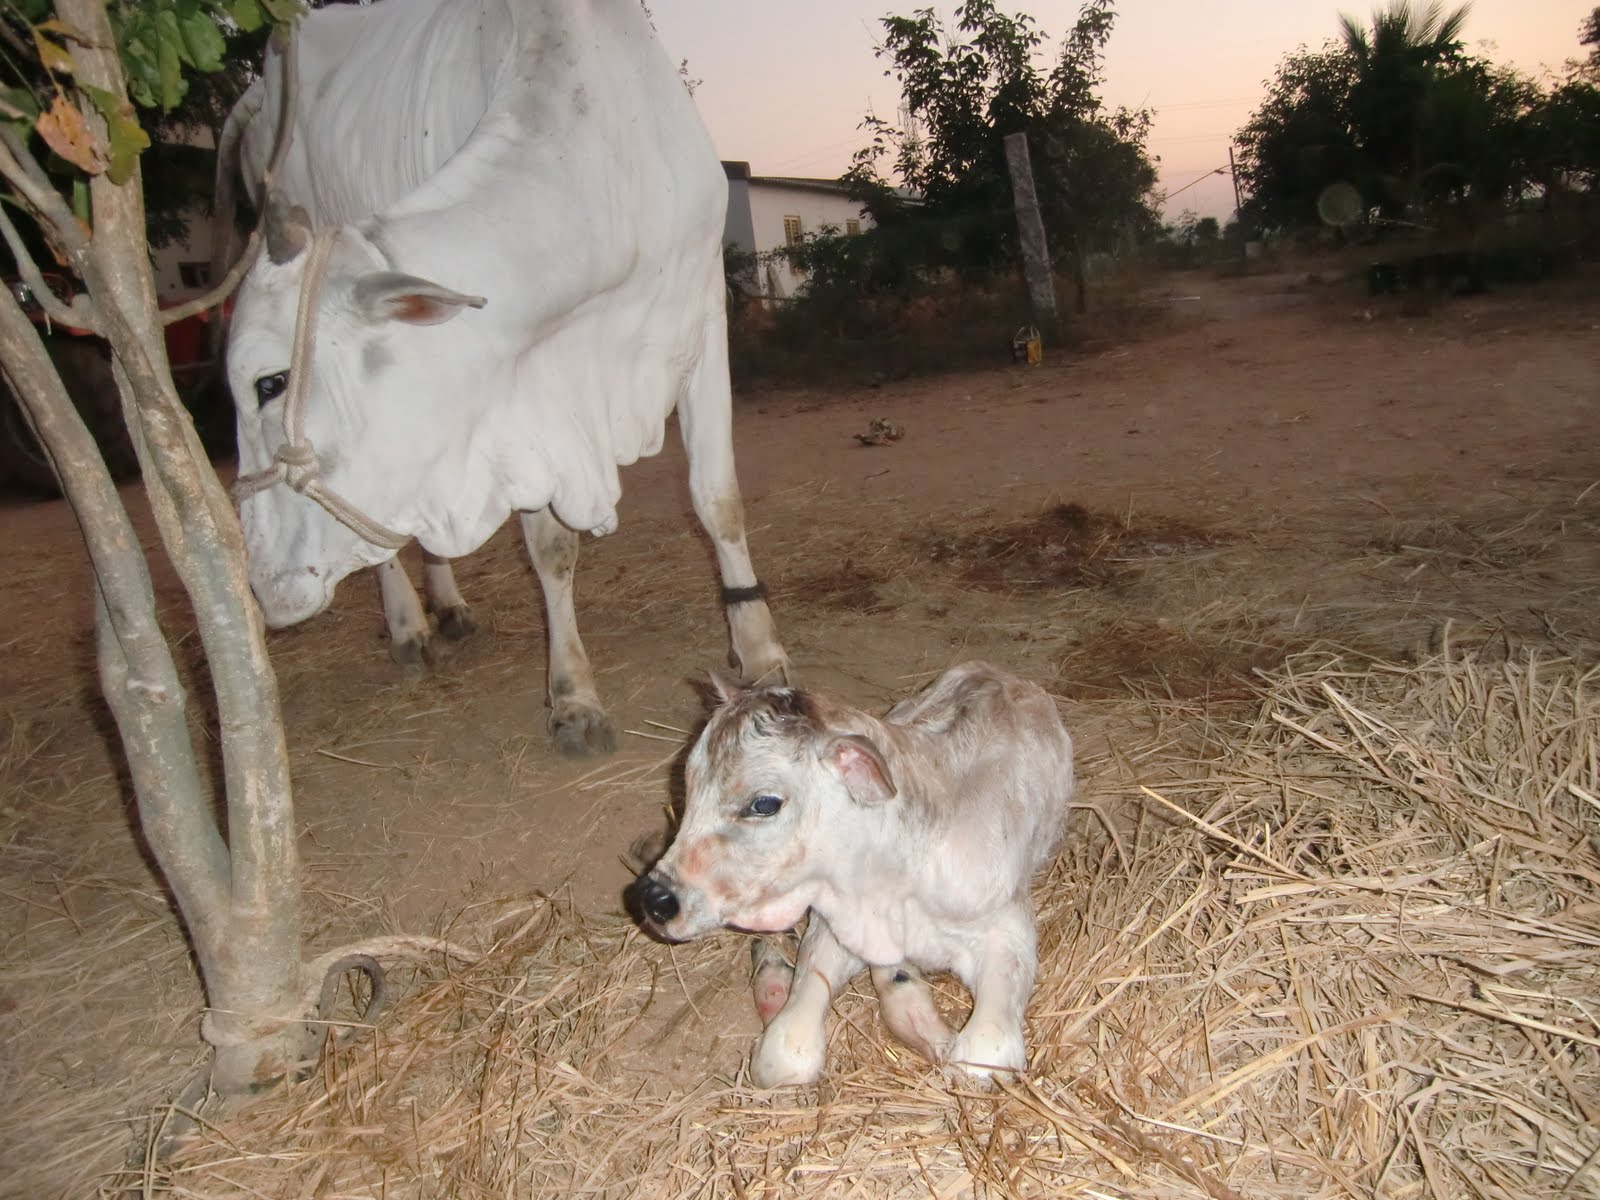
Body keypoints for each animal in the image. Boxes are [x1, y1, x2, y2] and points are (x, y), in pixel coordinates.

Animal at [222, 0, 789, 752]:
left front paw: (760, 651)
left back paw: (448, 605)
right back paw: (409, 626)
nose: (258, 587)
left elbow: (717, 499)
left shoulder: (701, 319)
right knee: (384, 550)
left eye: (269, 384)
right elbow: (551, 548)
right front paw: (573, 696)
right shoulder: (515, 408)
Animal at [633, 662, 1074, 1086]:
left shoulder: (1008, 928)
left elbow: (982, 1056)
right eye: (689, 782)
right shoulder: (832, 926)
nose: (655, 899)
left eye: (764, 804)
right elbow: (785, 1055)